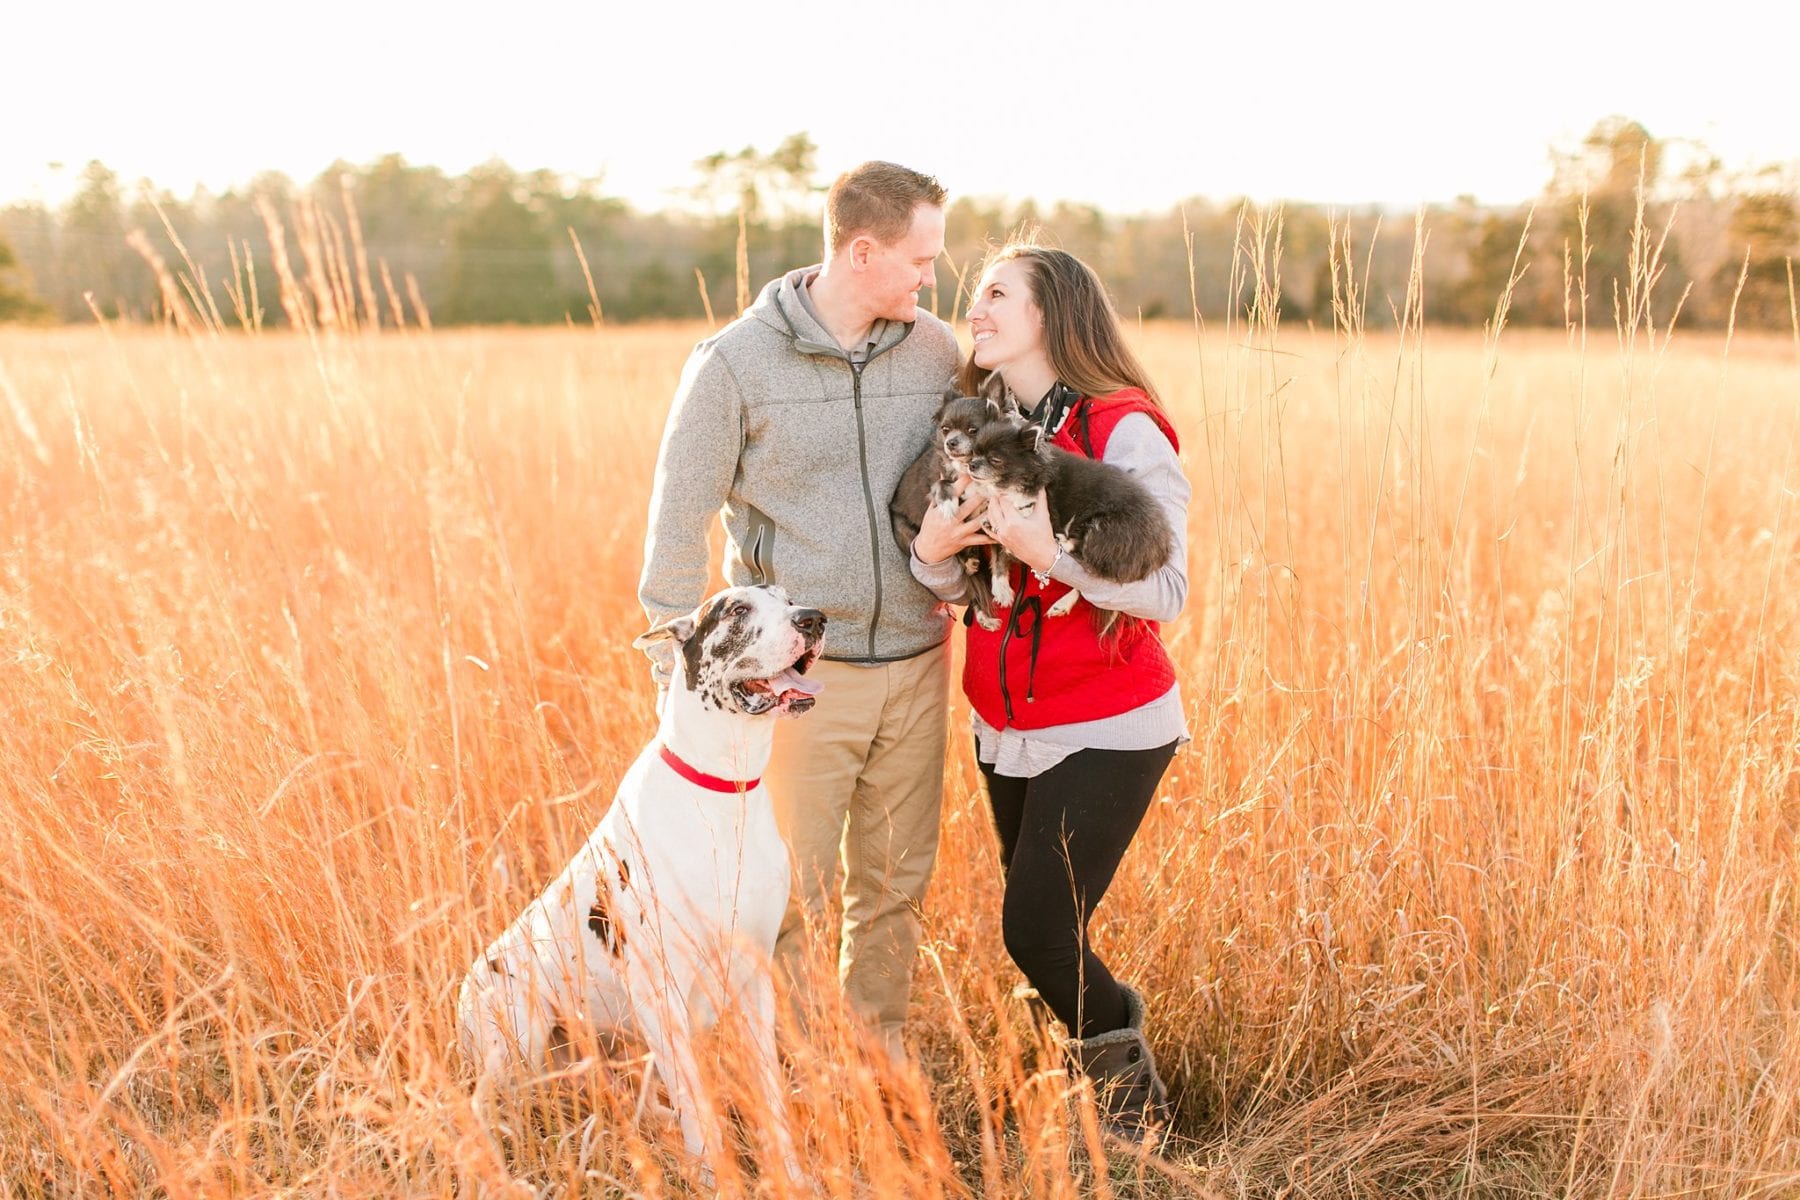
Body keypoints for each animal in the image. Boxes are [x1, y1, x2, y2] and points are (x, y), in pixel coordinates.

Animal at [464, 582, 828, 1180]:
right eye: (738, 609)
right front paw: (714, 1177)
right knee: (481, 1107)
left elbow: (769, 1091)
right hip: (518, 1034)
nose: (815, 618)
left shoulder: (755, 978)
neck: (725, 788)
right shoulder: (663, 994)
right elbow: (699, 1111)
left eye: (787, 596)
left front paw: (792, 1173)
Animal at [889, 390, 1029, 629]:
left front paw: (1001, 589)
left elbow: (999, 560)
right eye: (945, 428)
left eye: (973, 430)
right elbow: (943, 484)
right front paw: (947, 503)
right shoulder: (938, 480)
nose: (951, 442)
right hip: (906, 533)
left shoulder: (996, 520)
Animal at [964, 420, 1173, 626]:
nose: (971, 465)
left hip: (1103, 530)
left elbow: (1018, 508)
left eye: (995, 459)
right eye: (974, 453)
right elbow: (998, 557)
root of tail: (1161, 548)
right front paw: (1001, 588)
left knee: (1091, 570)